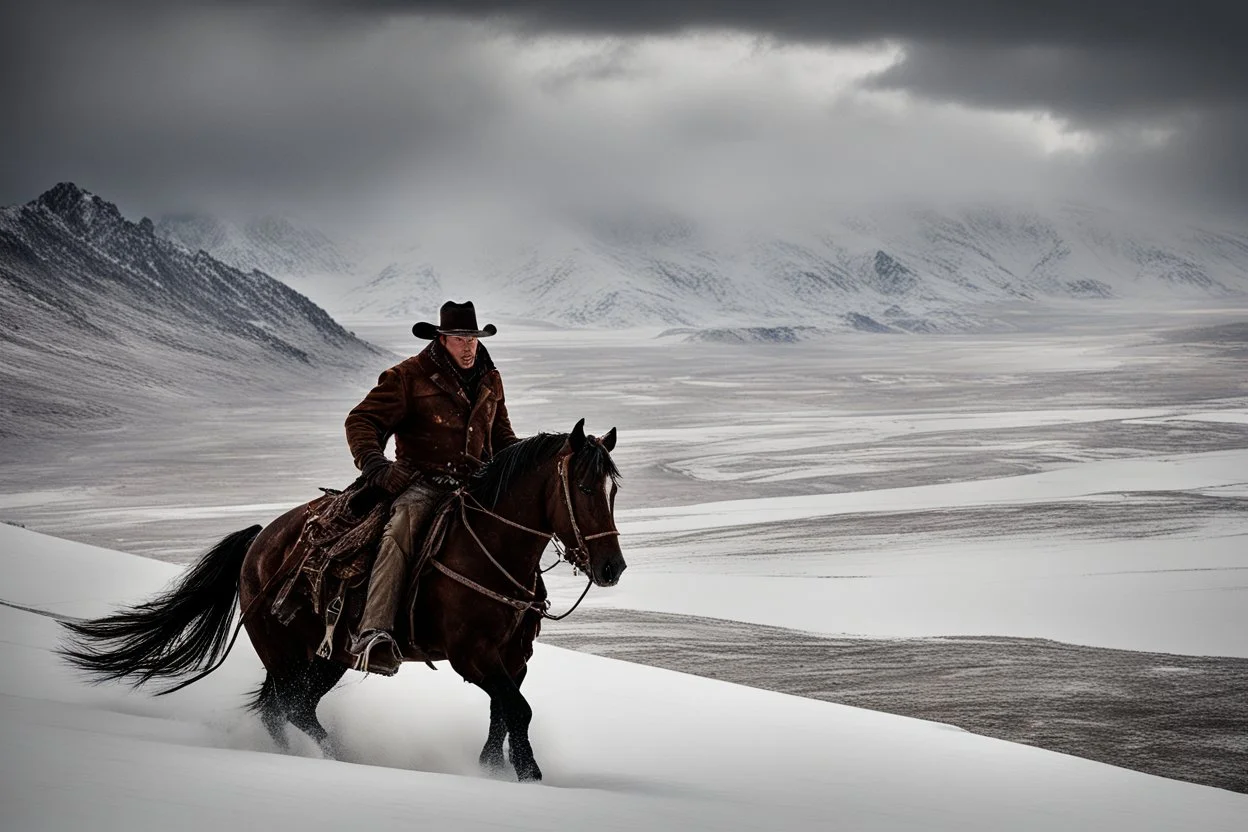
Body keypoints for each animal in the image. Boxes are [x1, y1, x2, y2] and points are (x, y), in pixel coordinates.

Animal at [59, 419, 624, 783]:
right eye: (581, 487)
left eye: (613, 490)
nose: (611, 568)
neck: (489, 546)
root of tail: (261, 540)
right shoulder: (472, 657)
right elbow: (518, 711)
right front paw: (528, 775)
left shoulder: (512, 658)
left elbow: (503, 713)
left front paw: (491, 769)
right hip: (285, 652)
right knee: (286, 708)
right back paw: (336, 757)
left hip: (325, 658)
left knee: (289, 708)